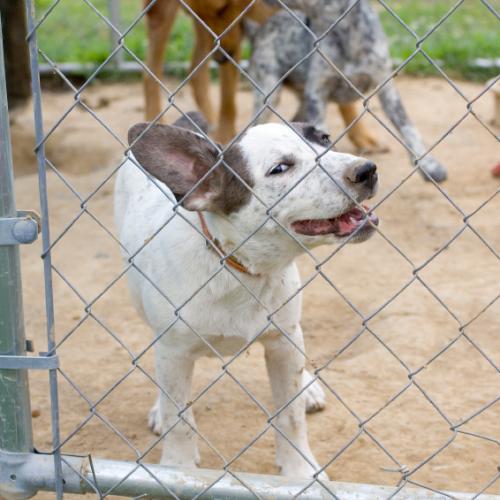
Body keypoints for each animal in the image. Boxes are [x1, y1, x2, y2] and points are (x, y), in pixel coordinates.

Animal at [114, 113, 378, 480]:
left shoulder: (282, 342)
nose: (367, 169)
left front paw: (299, 472)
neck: (237, 268)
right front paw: (178, 469)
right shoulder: (173, 352)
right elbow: (179, 419)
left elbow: (290, 414)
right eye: (280, 168)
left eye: (324, 139)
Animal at [143, 0, 380, 148]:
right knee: (152, 72)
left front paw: (362, 136)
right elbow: (228, 100)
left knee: (195, 69)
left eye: (223, 9)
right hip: (163, 15)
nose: (220, 58)